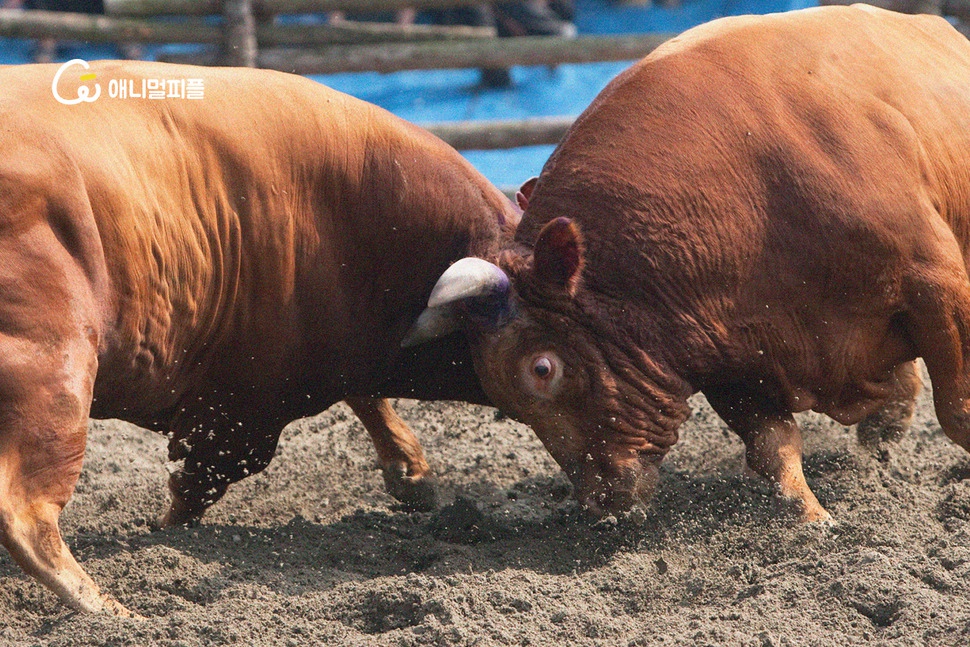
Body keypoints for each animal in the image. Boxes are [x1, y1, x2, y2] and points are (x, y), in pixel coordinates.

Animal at [0, 62, 520, 616]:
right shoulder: (242, 411)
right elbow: (199, 484)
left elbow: (368, 399)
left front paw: (414, 477)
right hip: (59, 366)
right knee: (26, 513)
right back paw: (112, 611)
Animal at [406, 7, 968, 524]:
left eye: (542, 368)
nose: (599, 503)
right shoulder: (727, 358)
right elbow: (773, 447)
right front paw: (811, 523)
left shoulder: (938, 287)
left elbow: (958, 412)